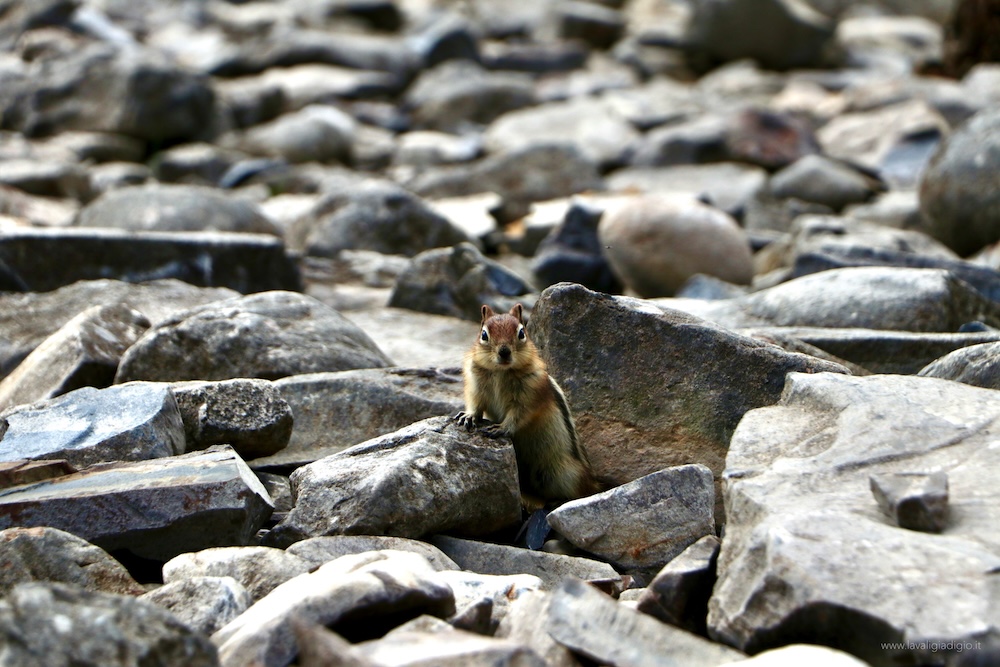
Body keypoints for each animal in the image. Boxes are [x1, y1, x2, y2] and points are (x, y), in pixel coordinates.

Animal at [455, 303, 601, 508]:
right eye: (484, 335)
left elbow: (519, 415)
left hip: (562, 472)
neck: (501, 372)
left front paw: (501, 428)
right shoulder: (475, 385)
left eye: (521, 332)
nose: (504, 351)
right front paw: (468, 416)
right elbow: (475, 404)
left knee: (579, 492)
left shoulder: (530, 394)